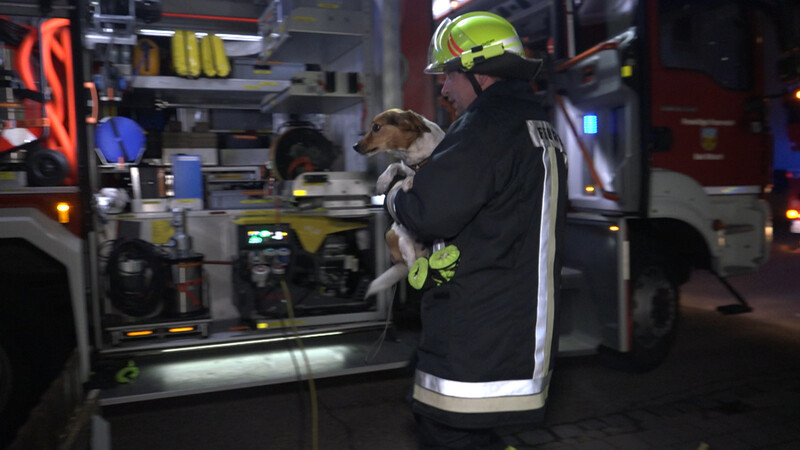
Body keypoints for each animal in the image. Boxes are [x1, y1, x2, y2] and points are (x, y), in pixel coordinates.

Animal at [354, 109, 446, 298]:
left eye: (376, 127)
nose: (355, 146)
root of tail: (422, 252)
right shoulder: (404, 165)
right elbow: (394, 165)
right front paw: (382, 182)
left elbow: (408, 173)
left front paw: (408, 182)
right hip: (399, 237)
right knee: (412, 266)